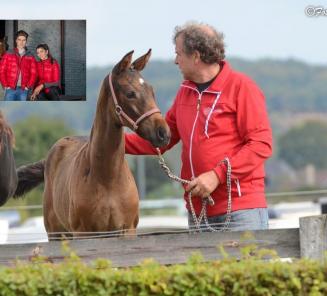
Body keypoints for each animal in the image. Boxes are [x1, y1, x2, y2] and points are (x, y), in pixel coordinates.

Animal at [13, 49, 172, 239]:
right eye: (130, 93)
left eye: (152, 91)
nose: (163, 133)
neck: (108, 179)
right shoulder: (85, 233)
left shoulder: (127, 230)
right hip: (56, 233)